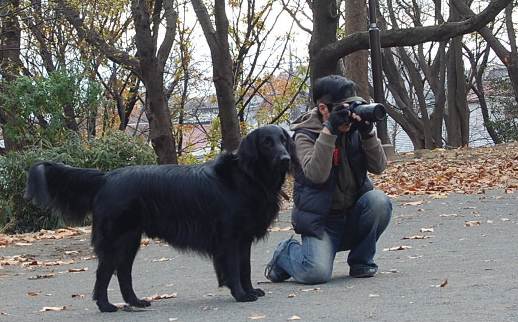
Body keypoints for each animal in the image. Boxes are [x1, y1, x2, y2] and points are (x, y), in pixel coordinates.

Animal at [24, 125, 300, 312]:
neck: (248, 176)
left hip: (131, 239)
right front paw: (241, 295)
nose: (285, 158)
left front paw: (250, 290)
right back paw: (106, 306)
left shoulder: (243, 238)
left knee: (123, 273)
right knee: (104, 273)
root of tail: (106, 177)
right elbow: (233, 268)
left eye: (283, 140)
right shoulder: (229, 238)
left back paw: (135, 301)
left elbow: (246, 267)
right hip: (115, 239)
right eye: (266, 142)